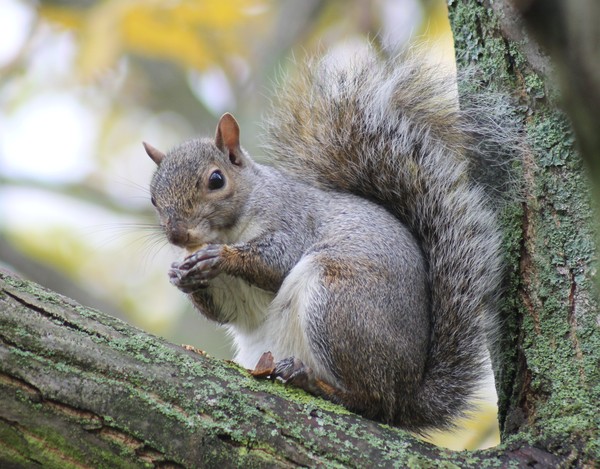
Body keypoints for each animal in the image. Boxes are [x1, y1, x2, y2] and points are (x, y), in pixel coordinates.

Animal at [143, 52, 508, 432]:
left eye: (216, 180)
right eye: (153, 198)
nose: (177, 234)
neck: (229, 229)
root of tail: (408, 394)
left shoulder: (293, 220)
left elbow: (277, 263)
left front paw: (221, 257)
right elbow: (225, 311)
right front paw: (180, 275)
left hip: (338, 304)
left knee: (373, 401)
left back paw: (314, 382)